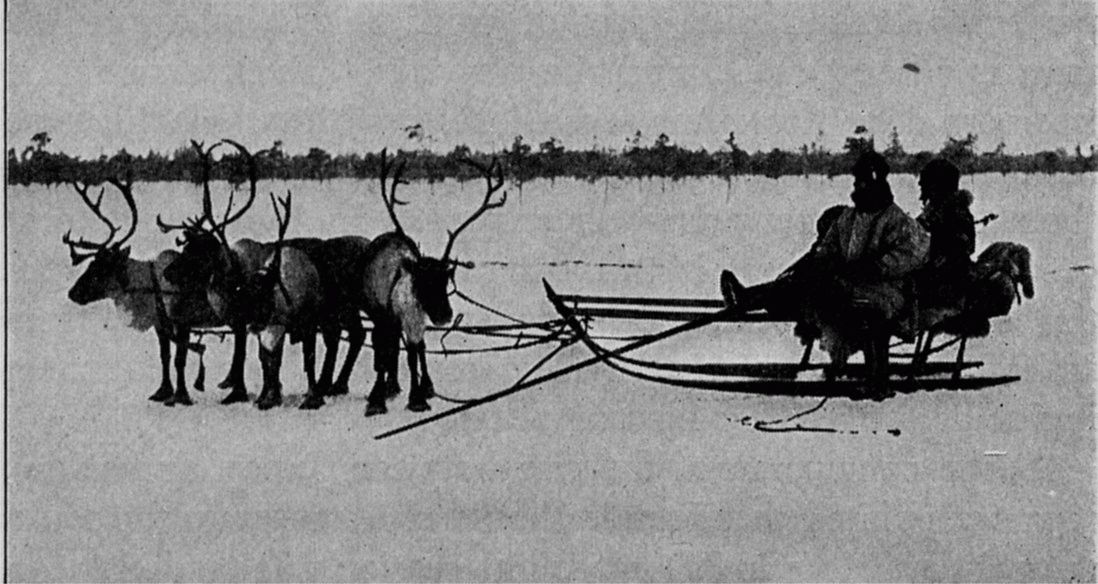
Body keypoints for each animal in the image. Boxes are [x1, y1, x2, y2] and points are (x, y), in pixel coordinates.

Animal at [63, 174, 230, 406]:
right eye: (91, 263)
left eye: (103, 268)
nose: (72, 293)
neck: (150, 287)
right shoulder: (160, 324)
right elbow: (165, 357)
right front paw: (162, 392)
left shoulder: (183, 321)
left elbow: (180, 359)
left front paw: (181, 396)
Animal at [360, 149, 507, 416]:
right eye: (422, 281)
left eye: (446, 279)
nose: (444, 315)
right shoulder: (382, 317)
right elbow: (383, 354)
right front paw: (377, 399)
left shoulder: (415, 322)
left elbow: (414, 353)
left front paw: (418, 397)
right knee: (390, 347)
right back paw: (391, 386)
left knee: (417, 349)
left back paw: (420, 385)